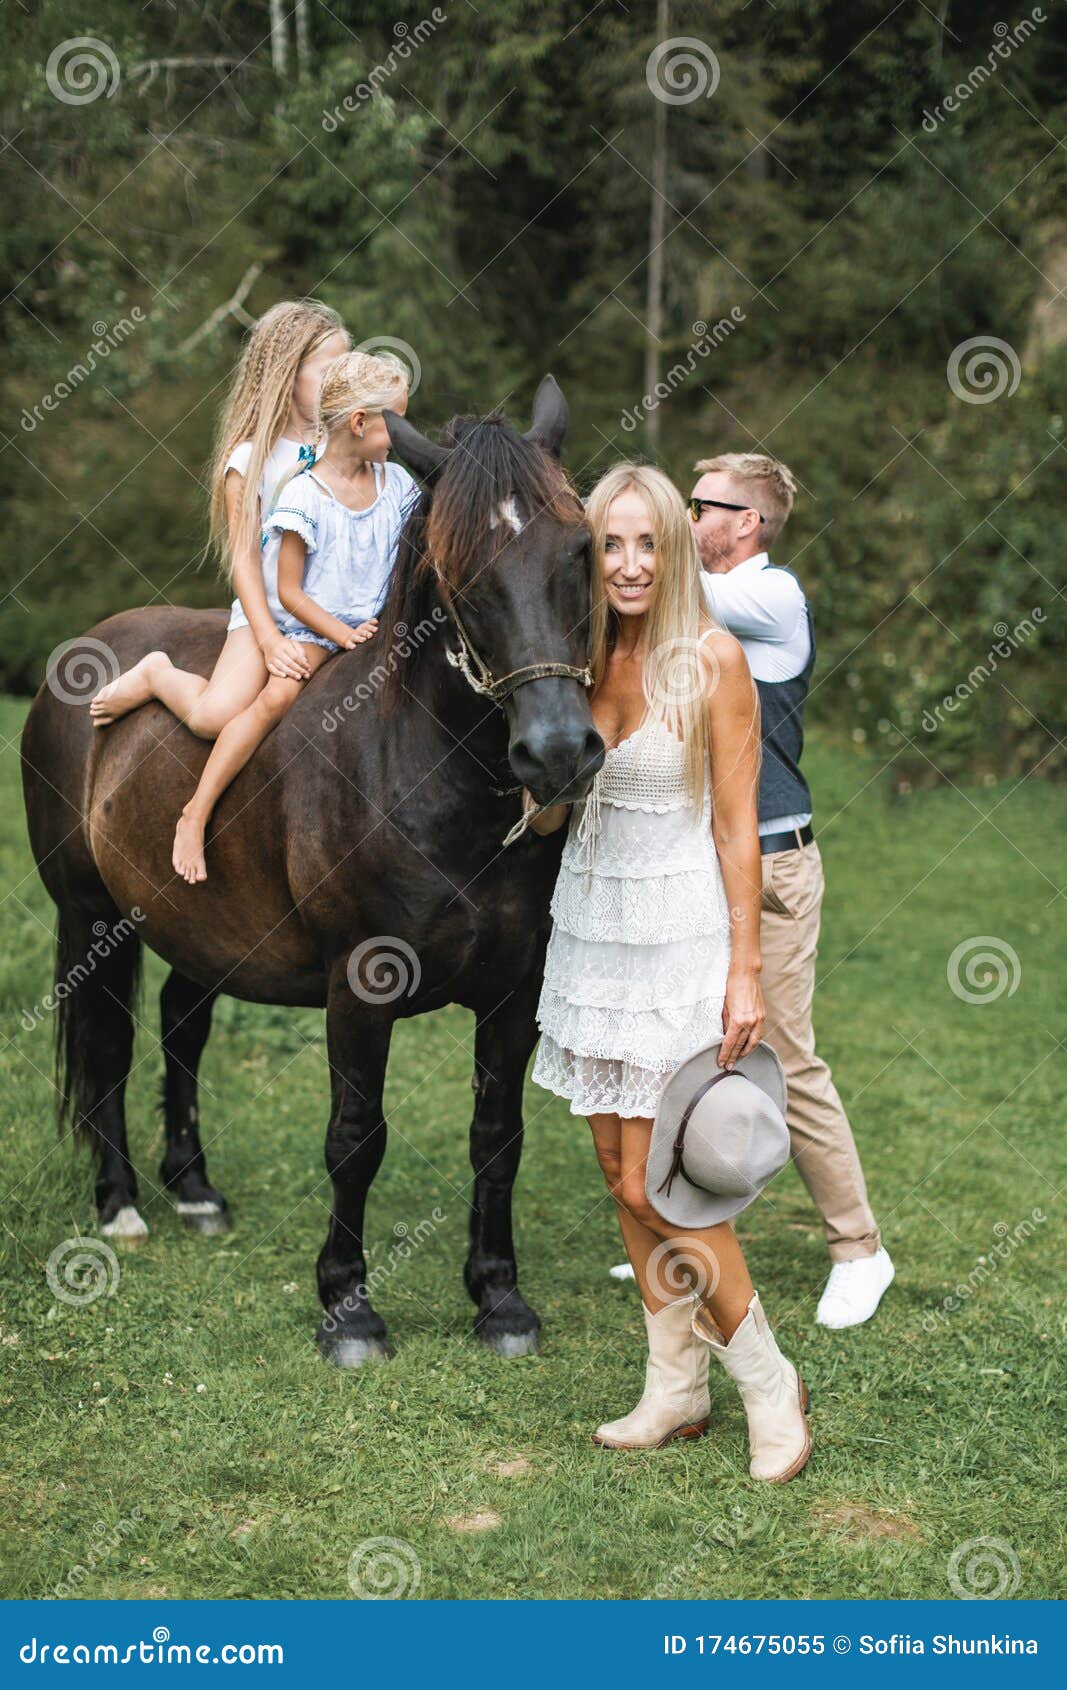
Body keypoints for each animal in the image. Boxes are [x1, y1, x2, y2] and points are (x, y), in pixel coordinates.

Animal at [20, 376, 605, 1365]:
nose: (557, 753)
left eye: (581, 550)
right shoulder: (360, 987)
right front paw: (348, 1310)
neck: (423, 775)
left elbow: (498, 1136)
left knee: (182, 1026)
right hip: (92, 918)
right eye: (461, 569)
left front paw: (499, 1299)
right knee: (108, 1047)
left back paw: (195, 1191)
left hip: (198, 924)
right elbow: (354, 1140)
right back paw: (121, 1204)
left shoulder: (513, 990)